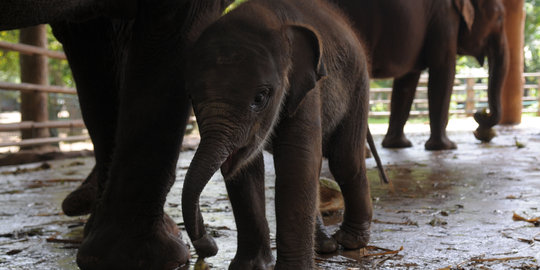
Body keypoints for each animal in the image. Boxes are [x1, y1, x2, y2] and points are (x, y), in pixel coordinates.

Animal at [181, 0, 376, 266]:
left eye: (260, 98)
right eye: (191, 97)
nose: (209, 245)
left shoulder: (307, 89)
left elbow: (297, 160)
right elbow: (247, 169)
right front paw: (250, 267)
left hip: (358, 84)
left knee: (344, 159)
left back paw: (349, 242)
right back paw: (324, 245)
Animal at [332, 0, 508, 150]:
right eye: (500, 17)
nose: (479, 115)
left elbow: (407, 82)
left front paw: (398, 145)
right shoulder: (444, 19)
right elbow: (443, 71)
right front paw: (447, 147)